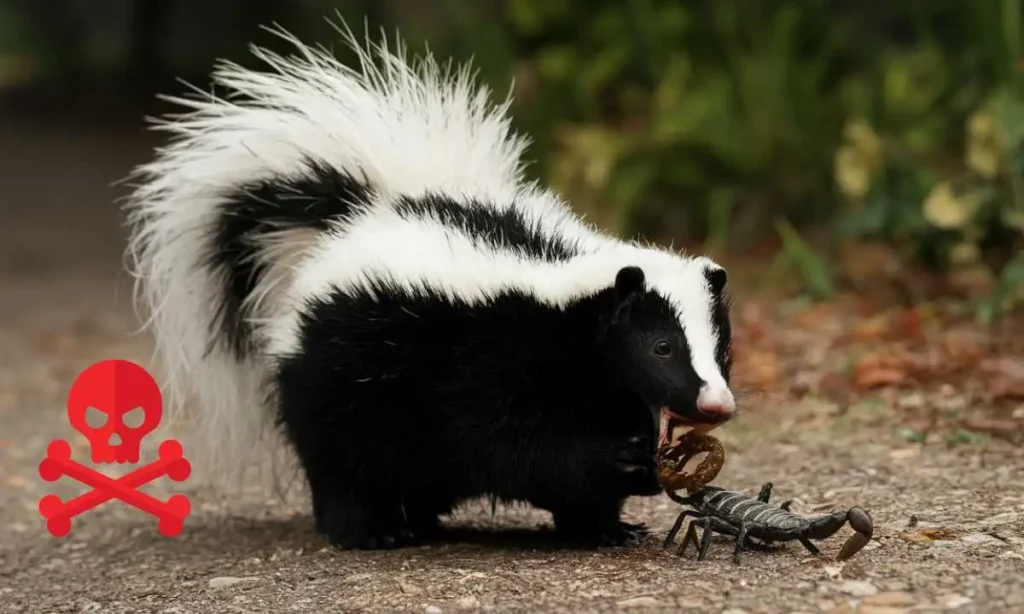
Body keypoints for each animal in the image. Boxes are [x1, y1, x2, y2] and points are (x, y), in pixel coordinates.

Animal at [123, 22, 737, 552]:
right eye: (661, 348)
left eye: (723, 351)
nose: (718, 402)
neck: (565, 297)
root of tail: (363, 213)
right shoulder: (488, 368)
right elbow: (528, 449)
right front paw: (620, 468)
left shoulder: (598, 389)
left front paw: (613, 519)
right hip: (336, 375)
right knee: (341, 464)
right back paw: (372, 531)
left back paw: (418, 519)